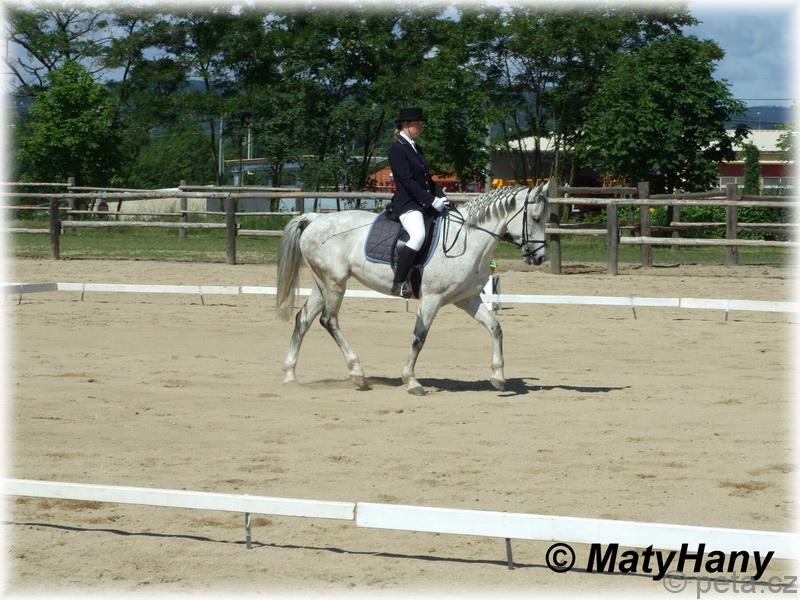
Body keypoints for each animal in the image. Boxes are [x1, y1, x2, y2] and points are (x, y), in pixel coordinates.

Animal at [275, 181, 551, 395]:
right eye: (535, 218)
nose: (539, 258)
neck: (468, 239)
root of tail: (316, 218)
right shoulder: (432, 298)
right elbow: (419, 337)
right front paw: (411, 381)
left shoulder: (468, 298)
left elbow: (495, 328)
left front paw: (498, 378)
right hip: (335, 283)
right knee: (329, 320)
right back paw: (358, 374)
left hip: (323, 284)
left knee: (303, 320)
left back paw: (290, 376)